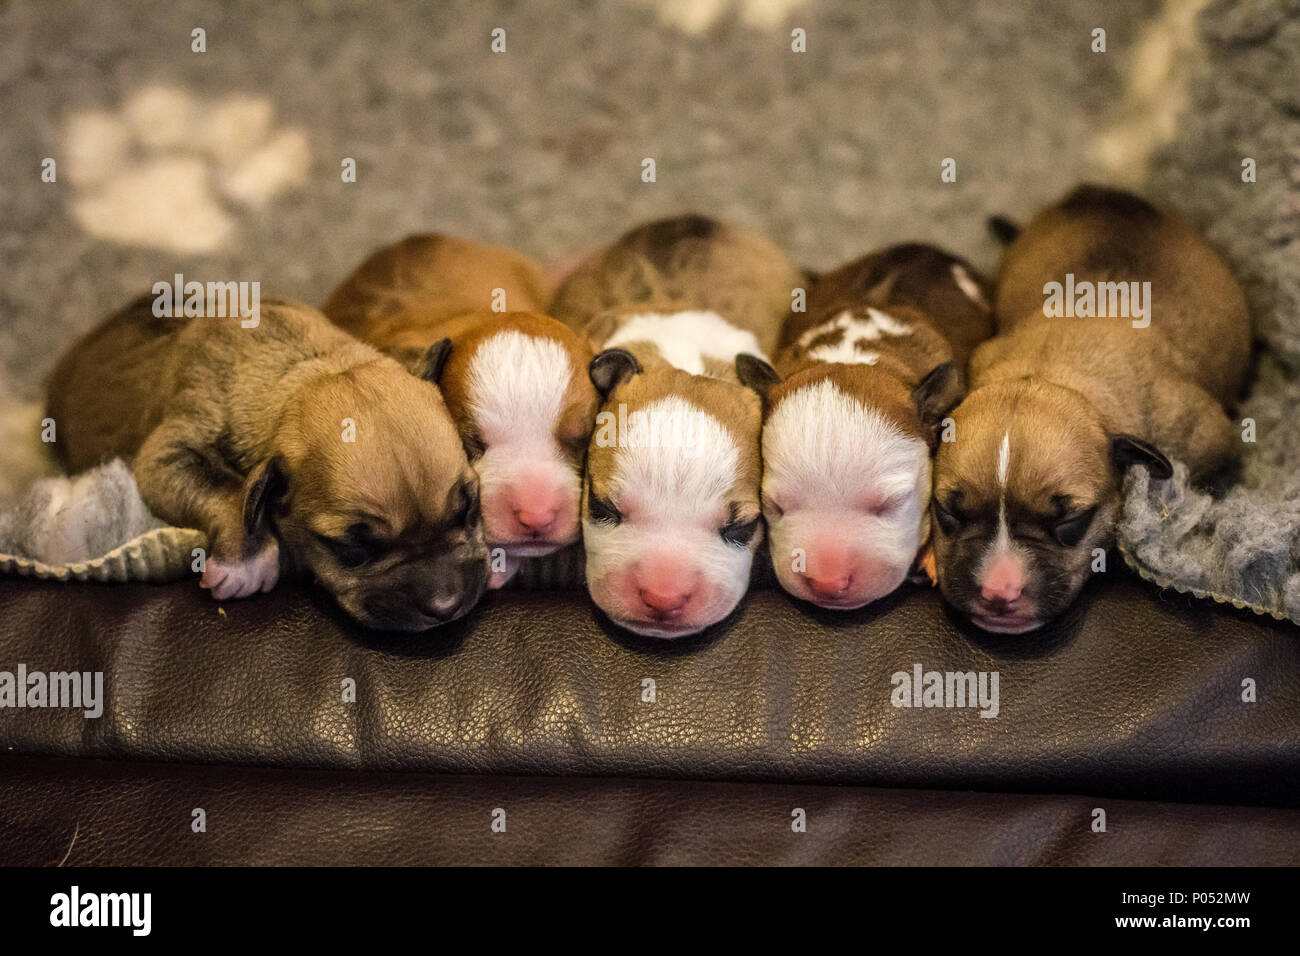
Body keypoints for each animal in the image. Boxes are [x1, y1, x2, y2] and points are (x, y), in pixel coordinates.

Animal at [47, 295, 488, 632]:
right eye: (352, 547)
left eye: (470, 508)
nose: (446, 606)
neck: (306, 369)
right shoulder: (167, 453)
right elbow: (226, 490)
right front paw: (248, 561)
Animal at [935, 187, 1248, 634]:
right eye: (946, 511)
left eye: (1071, 521)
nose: (999, 593)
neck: (1052, 372)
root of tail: (1094, 191)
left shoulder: (1208, 437)